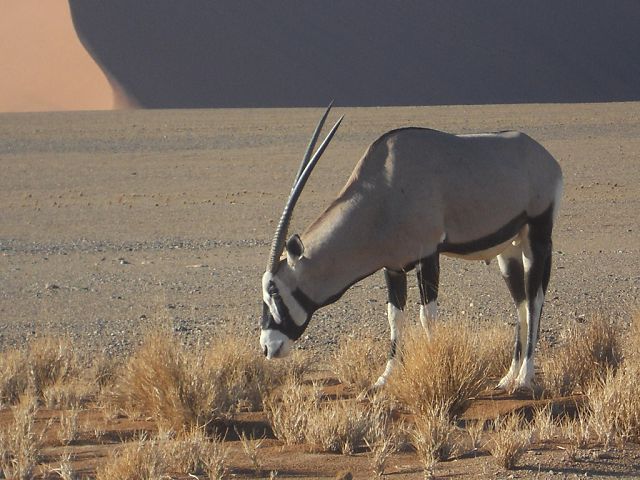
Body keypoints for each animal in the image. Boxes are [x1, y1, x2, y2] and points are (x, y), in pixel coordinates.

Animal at [258, 104, 560, 390]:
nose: (268, 347)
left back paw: (525, 378)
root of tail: (547, 160)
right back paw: (509, 377)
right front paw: (385, 377)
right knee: (521, 305)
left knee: (535, 301)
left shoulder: (428, 255)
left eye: (275, 291)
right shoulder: (393, 267)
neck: (384, 187)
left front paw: (436, 367)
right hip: (508, 252)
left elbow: (427, 316)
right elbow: (395, 317)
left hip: (537, 238)